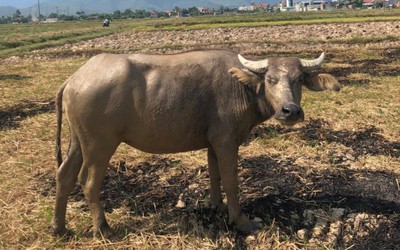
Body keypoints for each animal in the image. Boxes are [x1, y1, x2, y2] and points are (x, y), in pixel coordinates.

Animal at [53, 48, 340, 236]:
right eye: (270, 80)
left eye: (299, 79)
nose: (290, 111)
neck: (242, 87)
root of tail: (75, 78)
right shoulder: (227, 141)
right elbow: (231, 180)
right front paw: (241, 221)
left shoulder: (213, 142)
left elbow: (214, 175)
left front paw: (216, 206)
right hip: (100, 144)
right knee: (89, 182)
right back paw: (104, 228)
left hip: (78, 140)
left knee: (65, 175)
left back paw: (60, 228)